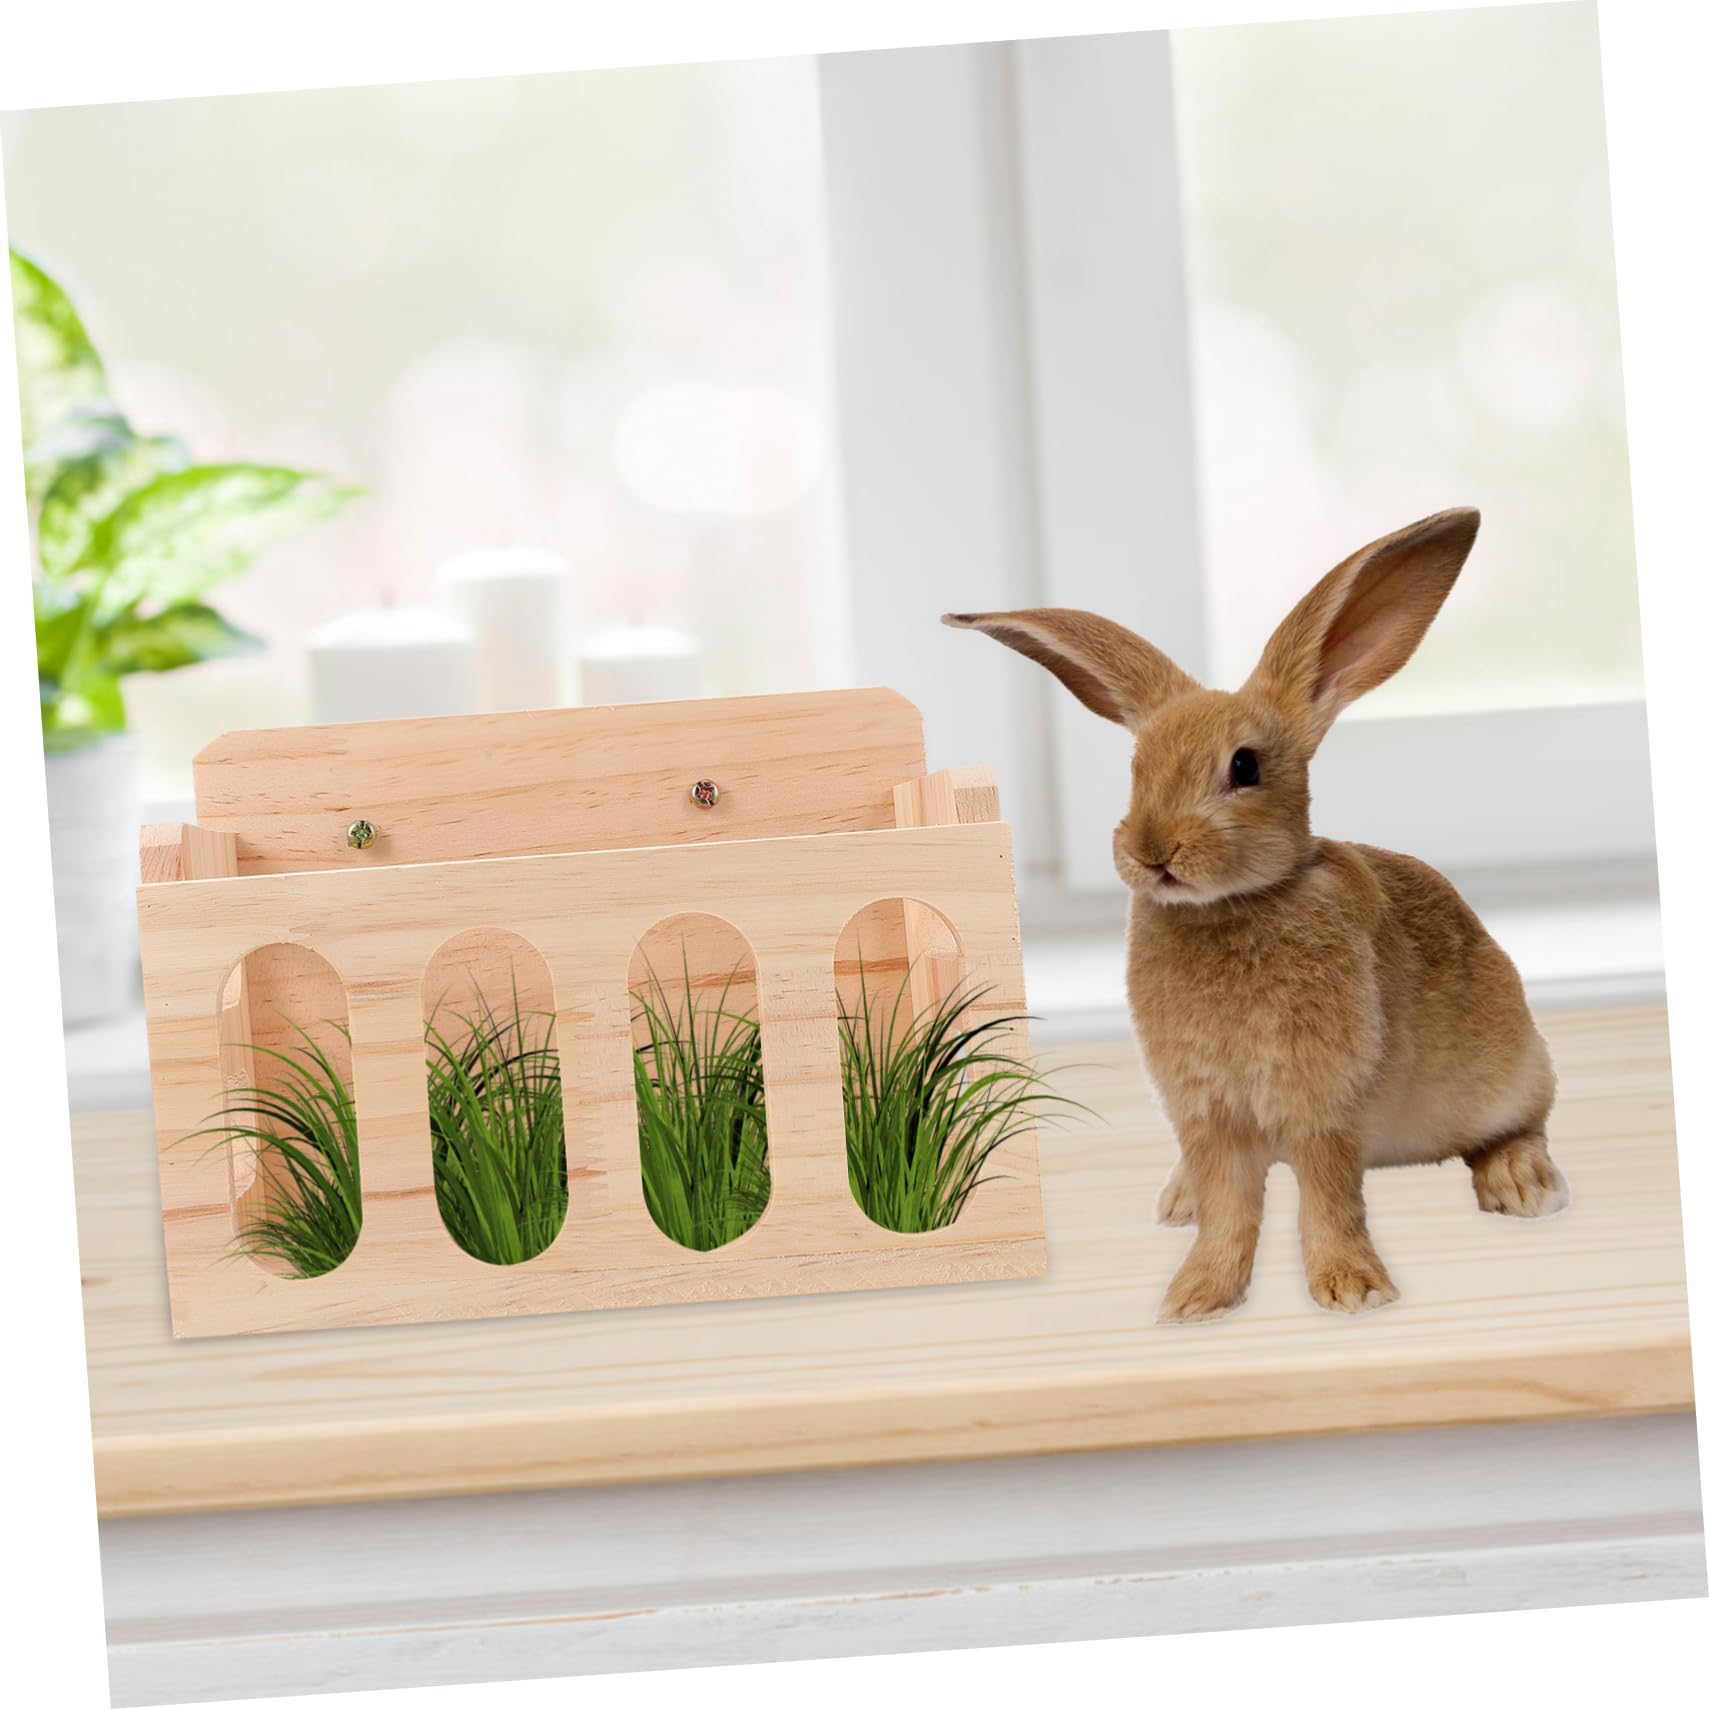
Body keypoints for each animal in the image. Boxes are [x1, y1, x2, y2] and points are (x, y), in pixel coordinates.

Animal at [945, 506, 1568, 1324]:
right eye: (1137, 770)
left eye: (1245, 766)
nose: (1151, 850)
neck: (1234, 905)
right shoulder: (1207, 1112)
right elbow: (1228, 1206)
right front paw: (1195, 1297)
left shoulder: (1323, 1105)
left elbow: (1328, 1198)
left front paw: (1352, 1290)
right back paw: (1176, 1198)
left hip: (1506, 1070)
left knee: (1521, 1123)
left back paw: (1522, 1184)